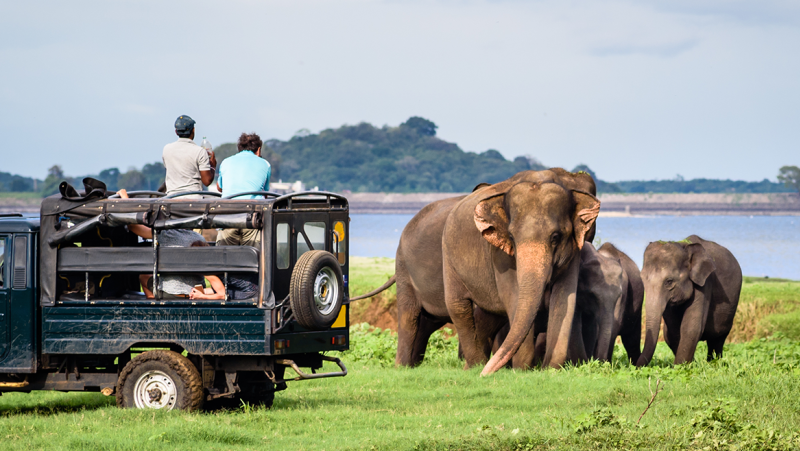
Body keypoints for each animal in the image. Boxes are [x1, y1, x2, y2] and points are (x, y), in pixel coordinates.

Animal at [442, 175, 600, 375]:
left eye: (555, 237)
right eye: (511, 236)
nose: (485, 375)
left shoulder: (573, 253)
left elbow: (564, 300)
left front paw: (549, 370)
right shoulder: (501, 255)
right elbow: (514, 299)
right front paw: (522, 371)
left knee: (486, 316)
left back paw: (473, 367)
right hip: (449, 259)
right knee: (458, 307)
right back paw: (476, 366)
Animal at [636, 235, 742, 367]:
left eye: (669, 281)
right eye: (642, 279)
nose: (634, 366)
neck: (684, 246)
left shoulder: (705, 282)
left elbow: (691, 327)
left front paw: (679, 367)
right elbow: (672, 332)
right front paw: (688, 365)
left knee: (717, 339)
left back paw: (714, 363)